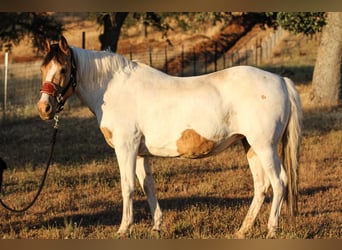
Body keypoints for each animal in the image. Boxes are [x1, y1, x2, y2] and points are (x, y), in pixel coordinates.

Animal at [37, 35, 302, 238]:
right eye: (43, 69)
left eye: (63, 69)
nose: (44, 108)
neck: (113, 89)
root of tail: (281, 81)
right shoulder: (140, 153)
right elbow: (147, 186)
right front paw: (156, 227)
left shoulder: (126, 148)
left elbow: (127, 186)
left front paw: (124, 229)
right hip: (250, 145)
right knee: (261, 185)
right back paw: (242, 231)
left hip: (265, 146)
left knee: (279, 182)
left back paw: (271, 230)